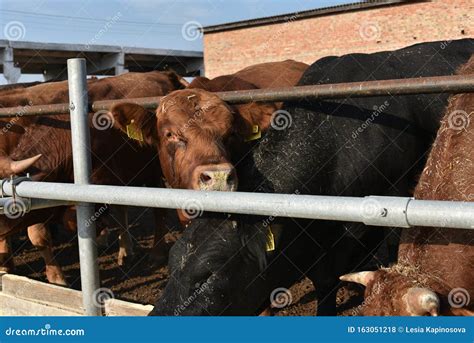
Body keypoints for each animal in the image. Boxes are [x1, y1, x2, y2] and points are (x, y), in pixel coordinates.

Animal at [0, 72, 185, 284]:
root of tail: (165, 74)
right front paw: (5, 266)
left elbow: (48, 231)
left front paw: (57, 278)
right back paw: (125, 251)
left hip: (154, 172)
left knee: (159, 211)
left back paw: (156, 253)